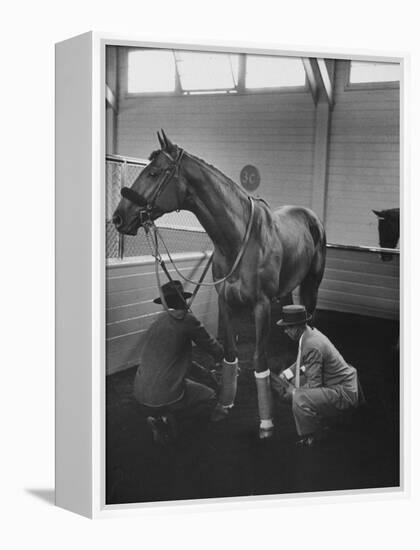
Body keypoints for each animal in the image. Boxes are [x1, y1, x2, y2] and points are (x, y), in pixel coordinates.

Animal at [113, 130, 326, 440]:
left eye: (153, 172)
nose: (118, 217)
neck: (238, 239)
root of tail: (311, 216)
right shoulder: (225, 302)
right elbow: (229, 353)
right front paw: (224, 405)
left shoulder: (261, 306)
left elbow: (259, 360)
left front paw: (266, 423)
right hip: (287, 289)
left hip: (313, 283)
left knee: (309, 319)